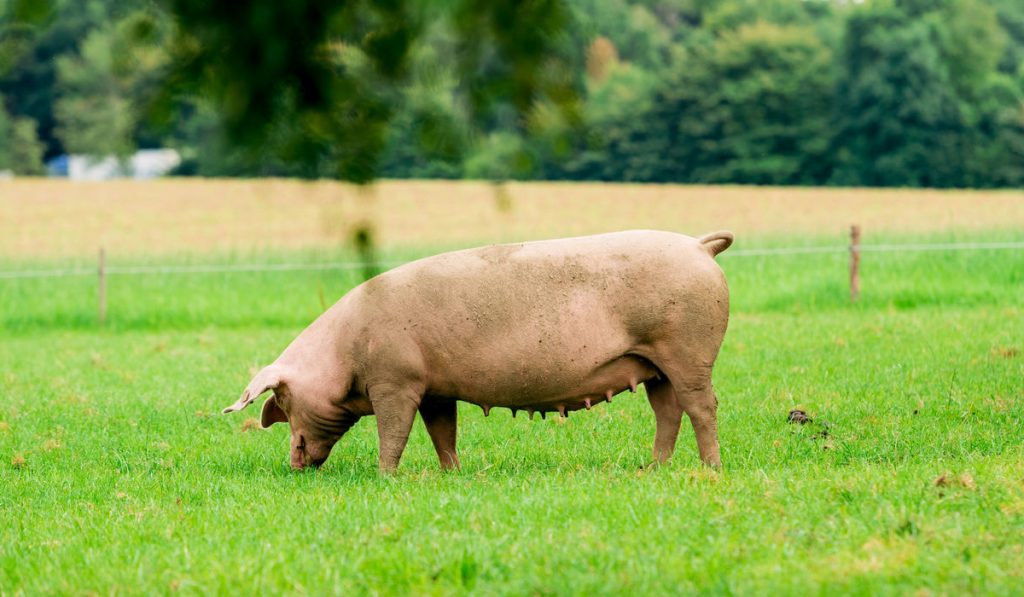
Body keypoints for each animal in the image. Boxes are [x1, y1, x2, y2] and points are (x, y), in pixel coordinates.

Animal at [225, 231, 737, 475]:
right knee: (667, 410)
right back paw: (653, 468)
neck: (345, 350)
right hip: (654, 365)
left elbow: (395, 432)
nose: (294, 465)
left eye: (283, 400)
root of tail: (699, 246)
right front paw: (453, 473)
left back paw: (710, 468)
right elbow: (442, 433)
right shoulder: (434, 389)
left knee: (702, 406)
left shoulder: (396, 380)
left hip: (687, 349)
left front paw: (385, 476)